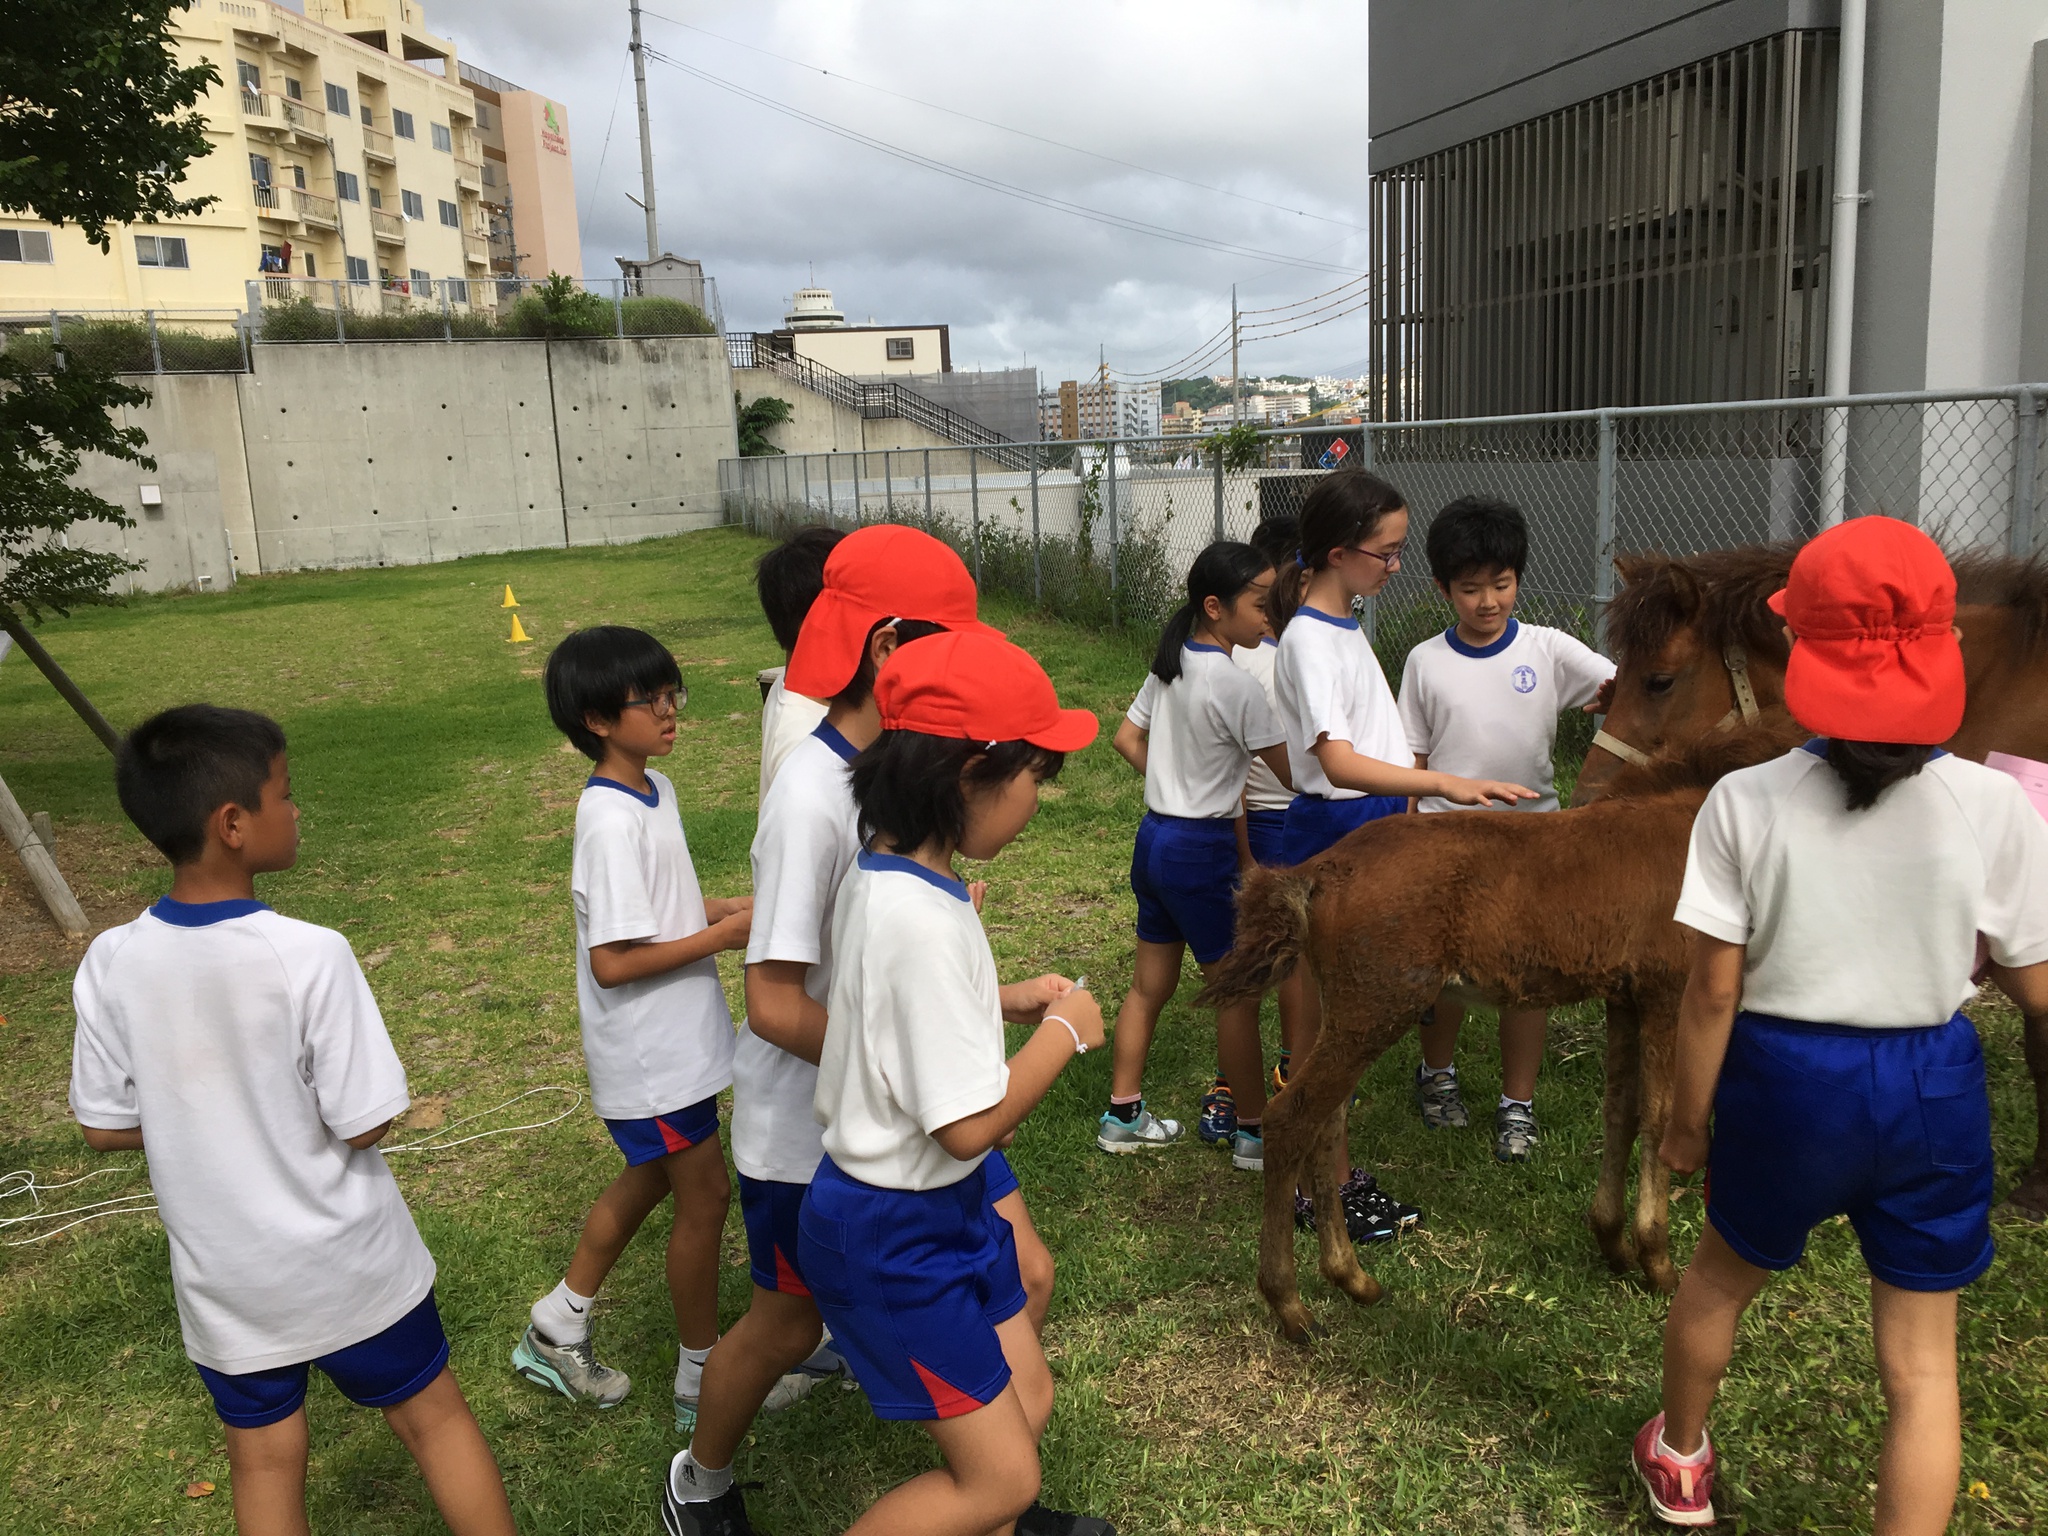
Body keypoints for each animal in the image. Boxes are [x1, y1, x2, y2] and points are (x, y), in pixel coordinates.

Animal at [1196, 716, 1810, 1343]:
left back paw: (1353, 1279)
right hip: (1377, 1006)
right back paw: (1290, 1304)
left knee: (1327, 1119)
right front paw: (1657, 1262)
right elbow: (1662, 1119)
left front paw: (1612, 1243)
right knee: (1292, 1118)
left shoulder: (1625, 998)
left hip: (1350, 1011)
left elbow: (1622, 1109)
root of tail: (1319, 872)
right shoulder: (1669, 991)